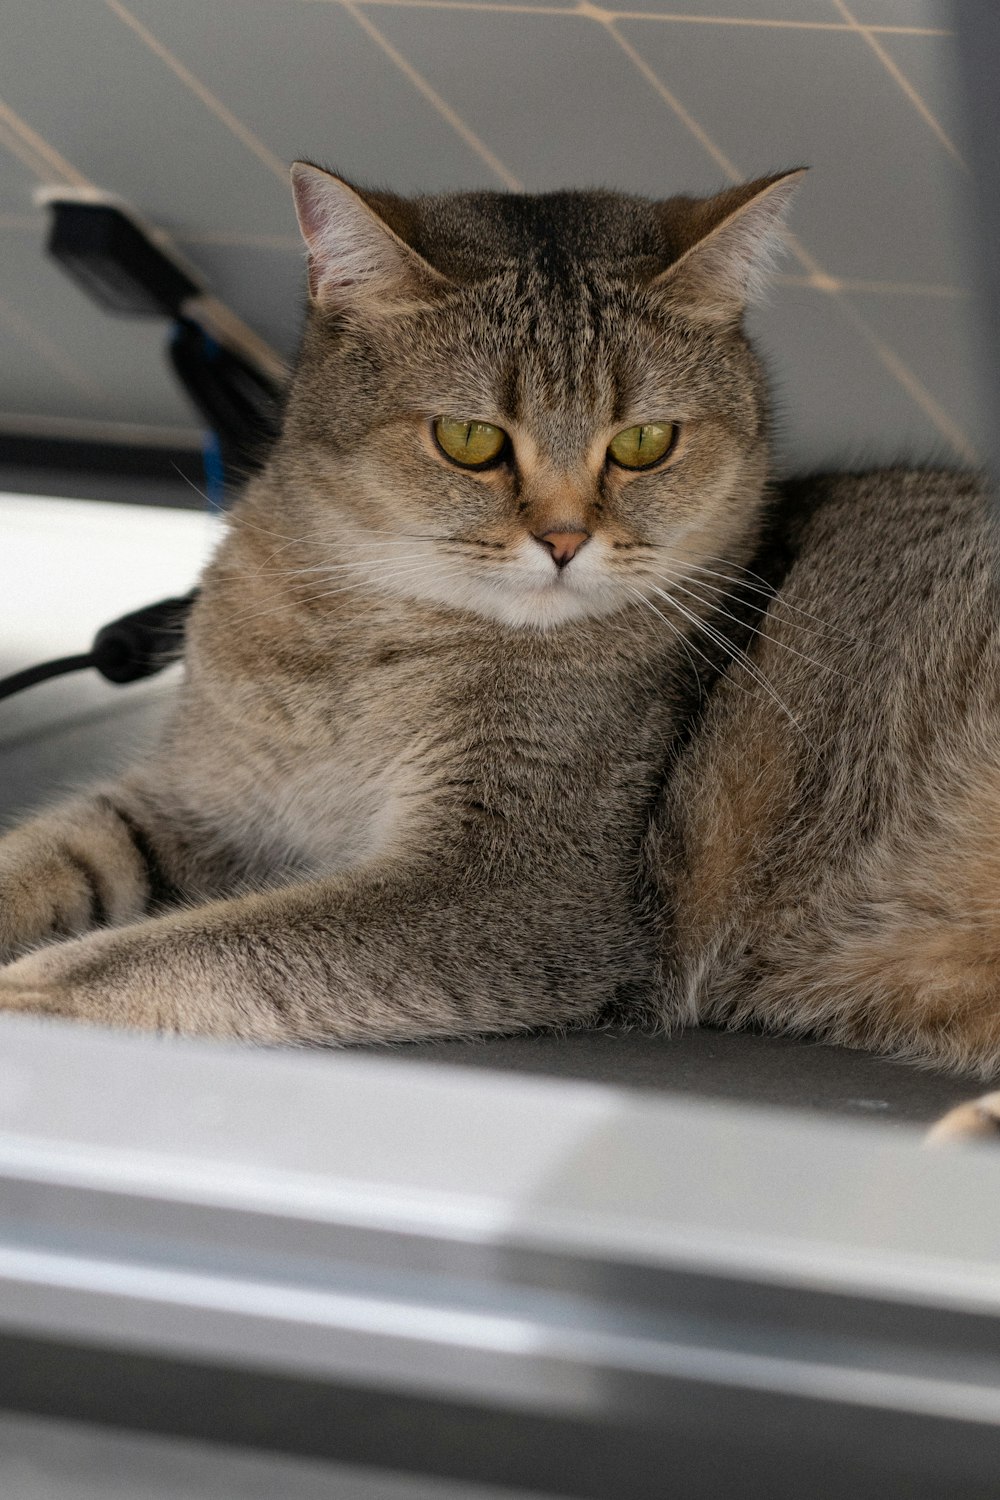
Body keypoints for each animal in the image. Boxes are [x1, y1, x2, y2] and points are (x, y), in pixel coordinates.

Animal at [1, 161, 1000, 1134]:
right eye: (469, 438)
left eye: (645, 441)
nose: (564, 540)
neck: (361, 638)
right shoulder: (196, 803)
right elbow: (50, 853)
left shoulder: (511, 890)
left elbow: (194, 946)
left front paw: (26, 990)